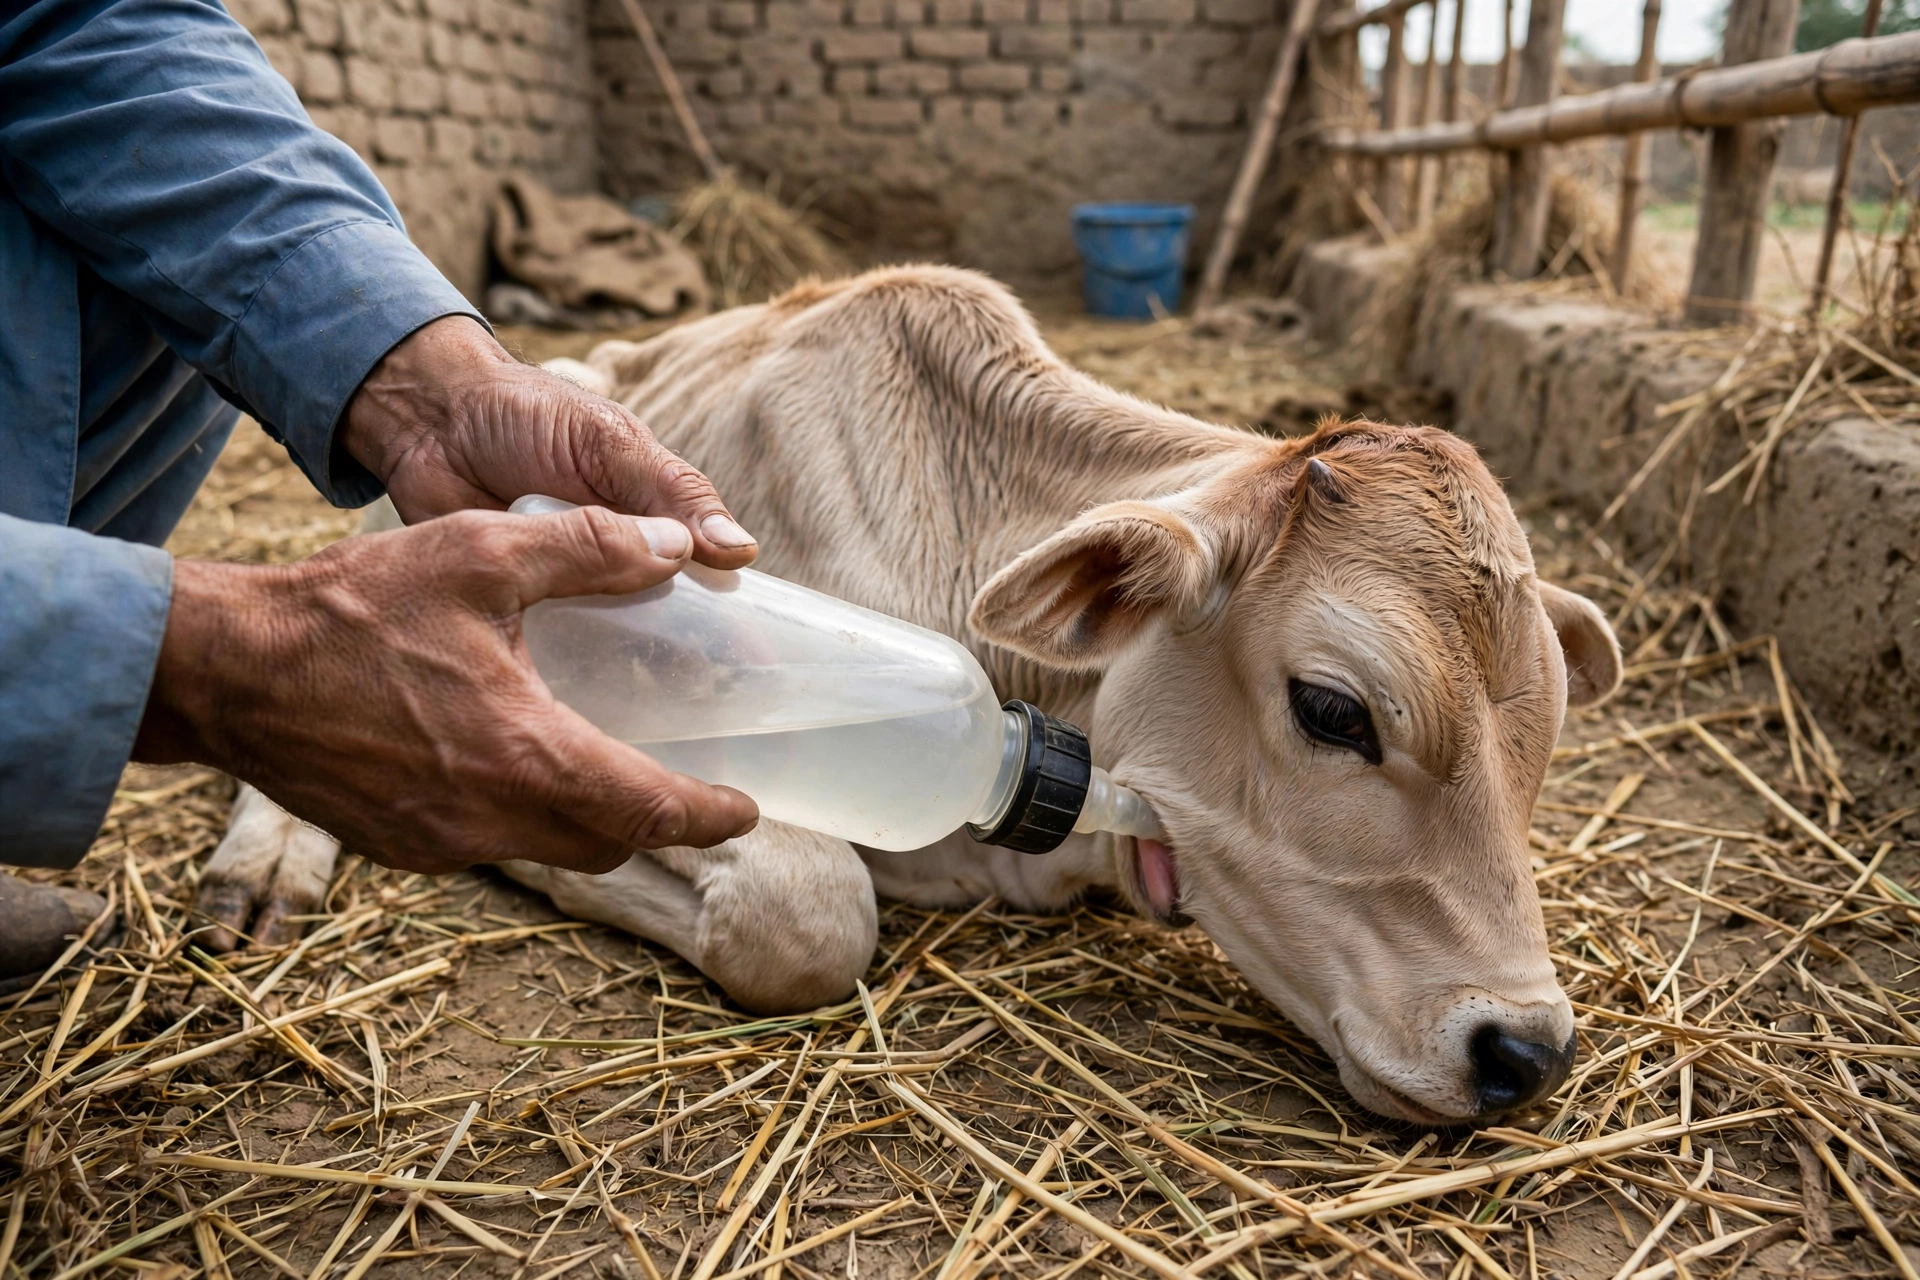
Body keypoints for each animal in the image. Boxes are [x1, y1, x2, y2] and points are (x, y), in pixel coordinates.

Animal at [197, 265, 1621, 1124]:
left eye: (1543, 747)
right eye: (1333, 709)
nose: (1526, 1049)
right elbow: (810, 913)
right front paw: (537, 850)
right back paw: (268, 861)